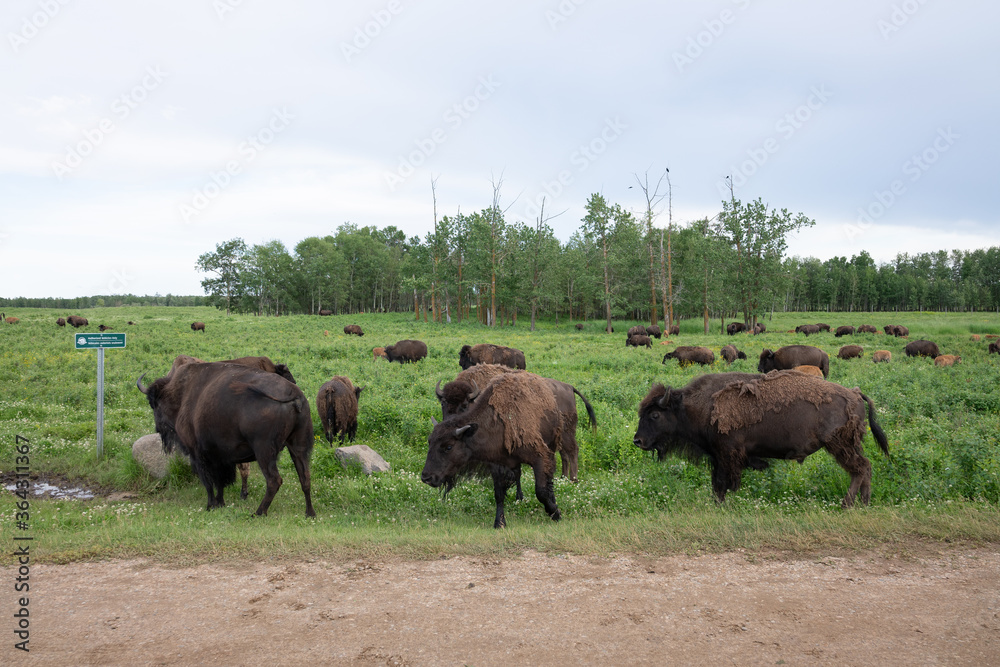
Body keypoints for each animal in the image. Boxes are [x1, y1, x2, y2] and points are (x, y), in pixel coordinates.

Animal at [134, 366, 312, 516]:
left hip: (264, 451)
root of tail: (294, 394)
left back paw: (258, 513)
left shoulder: (198, 454)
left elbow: (208, 482)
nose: (158, 427)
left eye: (153, 403)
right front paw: (220, 503)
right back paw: (310, 513)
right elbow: (220, 482)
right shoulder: (220, 457)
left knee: (274, 480)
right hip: (298, 447)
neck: (181, 394)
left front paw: (210, 505)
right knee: (305, 478)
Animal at [632, 374, 892, 508]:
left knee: (860, 468)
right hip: (850, 445)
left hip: (839, 445)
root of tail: (855, 394)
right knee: (865, 467)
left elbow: (721, 484)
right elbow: (717, 484)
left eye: (654, 415)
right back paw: (864, 502)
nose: (638, 441)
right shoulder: (719, 457)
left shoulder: (726, 455)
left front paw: (720, 505)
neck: (695, 406)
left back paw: (847, 504)